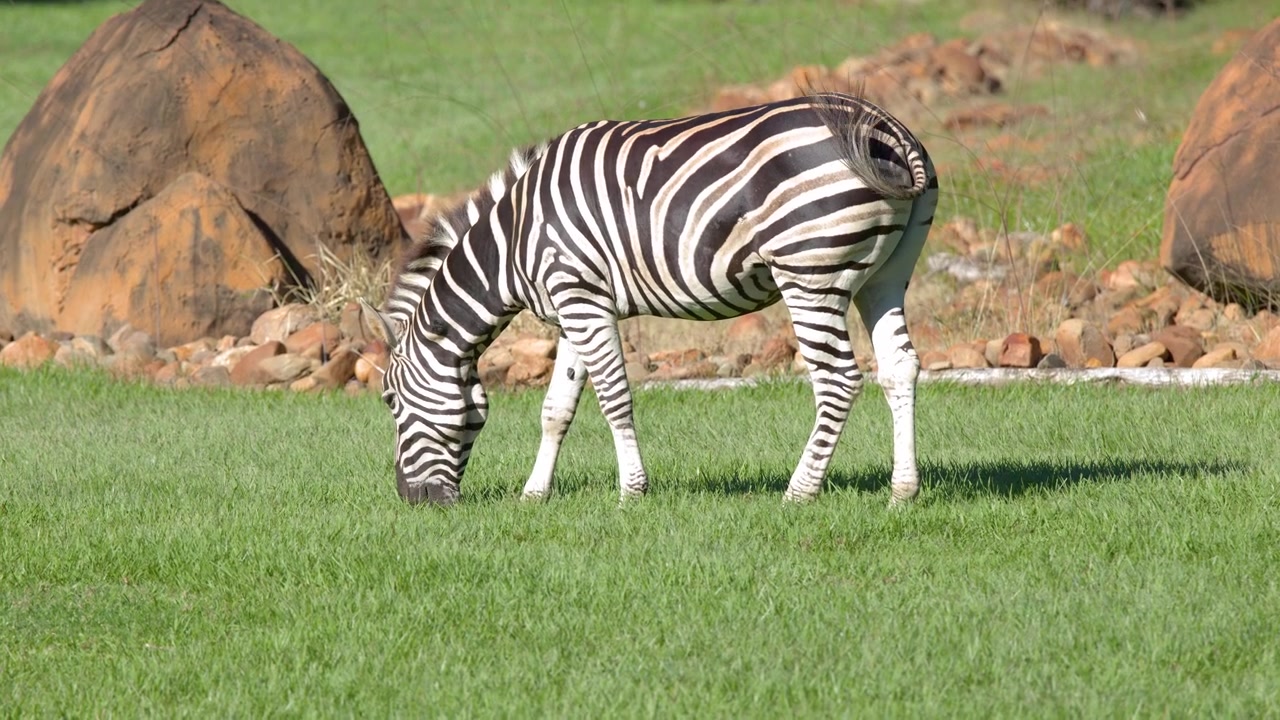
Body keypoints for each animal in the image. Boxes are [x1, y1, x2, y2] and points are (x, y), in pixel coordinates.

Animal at [362, 92, 938, 506]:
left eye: (389, 400)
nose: (413, 500)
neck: (514, 241)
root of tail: (887, 127)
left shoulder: (582, 300)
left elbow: (614, 397)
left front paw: (631, 493)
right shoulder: (574, 305)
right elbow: (556, 409)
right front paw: (534, 495)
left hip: (809, 272)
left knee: (837, 380)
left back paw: (799, 493)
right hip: (886, 275)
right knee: (900, 368)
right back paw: (902, 492)